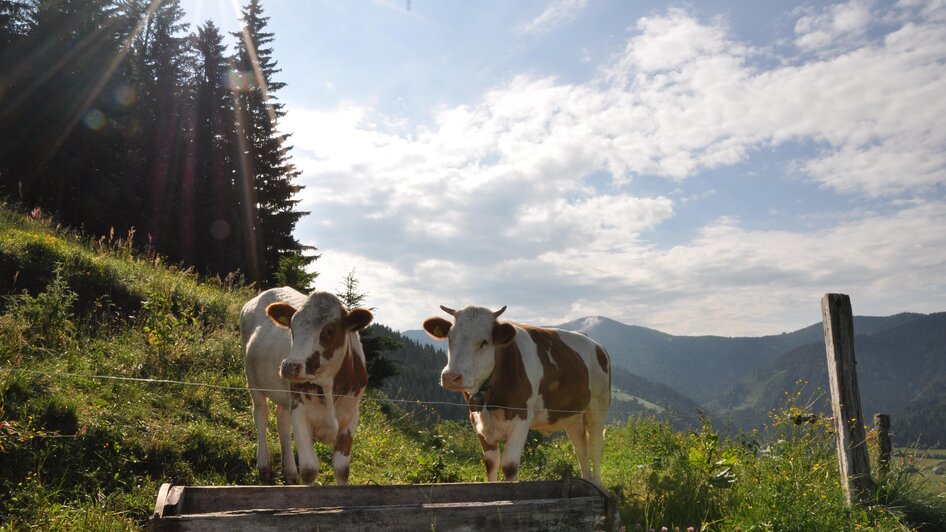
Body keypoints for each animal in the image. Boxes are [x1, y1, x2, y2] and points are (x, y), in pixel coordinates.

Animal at [240, 288, 372, 484]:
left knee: (282, 422)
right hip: (253, 382)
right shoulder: (300, 412)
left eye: (329, 330)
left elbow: (342, 469)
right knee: (261, 415)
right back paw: (264, 466)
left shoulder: (351, 416)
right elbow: (309, 469)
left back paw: (289, 472)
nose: (289, 366)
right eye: (292, 328)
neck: (328, 387)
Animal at [422, 304, 612, 482]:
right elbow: (491, 463)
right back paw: (586, 481)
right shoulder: (476, 419)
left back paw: (597, 485)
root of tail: (595, 344)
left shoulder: (521, 418)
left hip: (598, 406)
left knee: (595, 445)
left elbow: (509, 466)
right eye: (450, 338)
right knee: (580, 447)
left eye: (484, 342)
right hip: (573, 415)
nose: (451, 376)